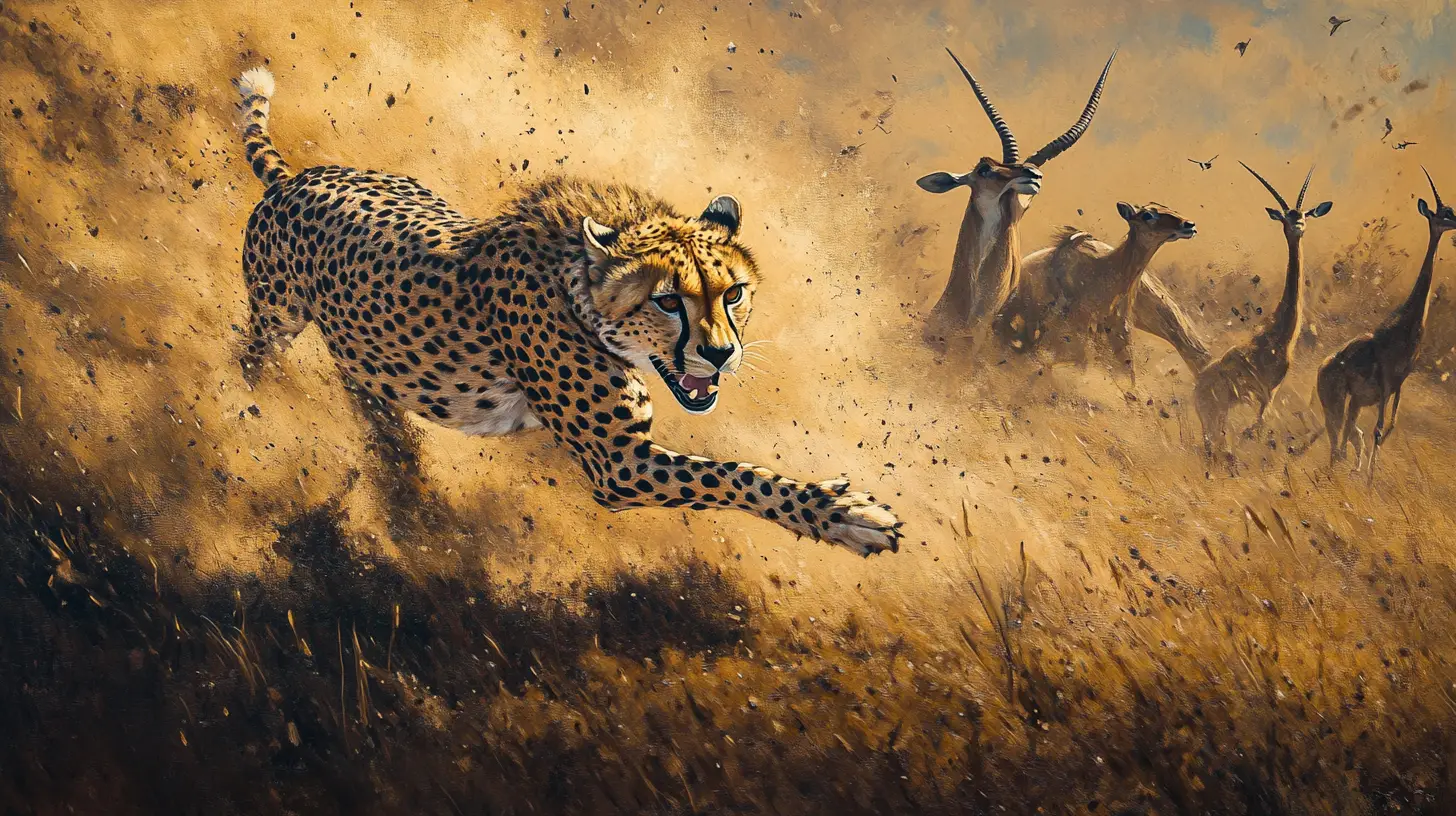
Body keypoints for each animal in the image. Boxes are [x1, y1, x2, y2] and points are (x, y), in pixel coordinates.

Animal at [233, 67, 902, 555]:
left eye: (732, 293)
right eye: (667, 301)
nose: (720, 355)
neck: (578, 291)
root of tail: (297, 178)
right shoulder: (619, 465)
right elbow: (735, 475)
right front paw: (842, 514)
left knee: (362, 381)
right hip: (277, 318)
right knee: (252, 358)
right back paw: (249, 412)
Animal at [1193, 162, 1332, 465]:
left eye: (1304, 214)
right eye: (1285, 218)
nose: (1298, 226)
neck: (1278, 337)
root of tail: (1196, 386)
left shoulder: (1269, 394)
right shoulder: (1264, 393)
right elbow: (1255, 428)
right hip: (1216, 413)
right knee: (1213, 442)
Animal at [1301, 168, 1456, 473]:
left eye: (1452, 210)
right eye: (1444, 214)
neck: (1405, 329)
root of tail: (1321, 369)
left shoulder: (1398, 384)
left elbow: (1389, 427)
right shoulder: (1384, 384)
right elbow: (1378, 429)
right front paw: (1371, 478)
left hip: (1352, 404)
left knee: (1344, 439)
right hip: (1337, 401)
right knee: (1338, 440)